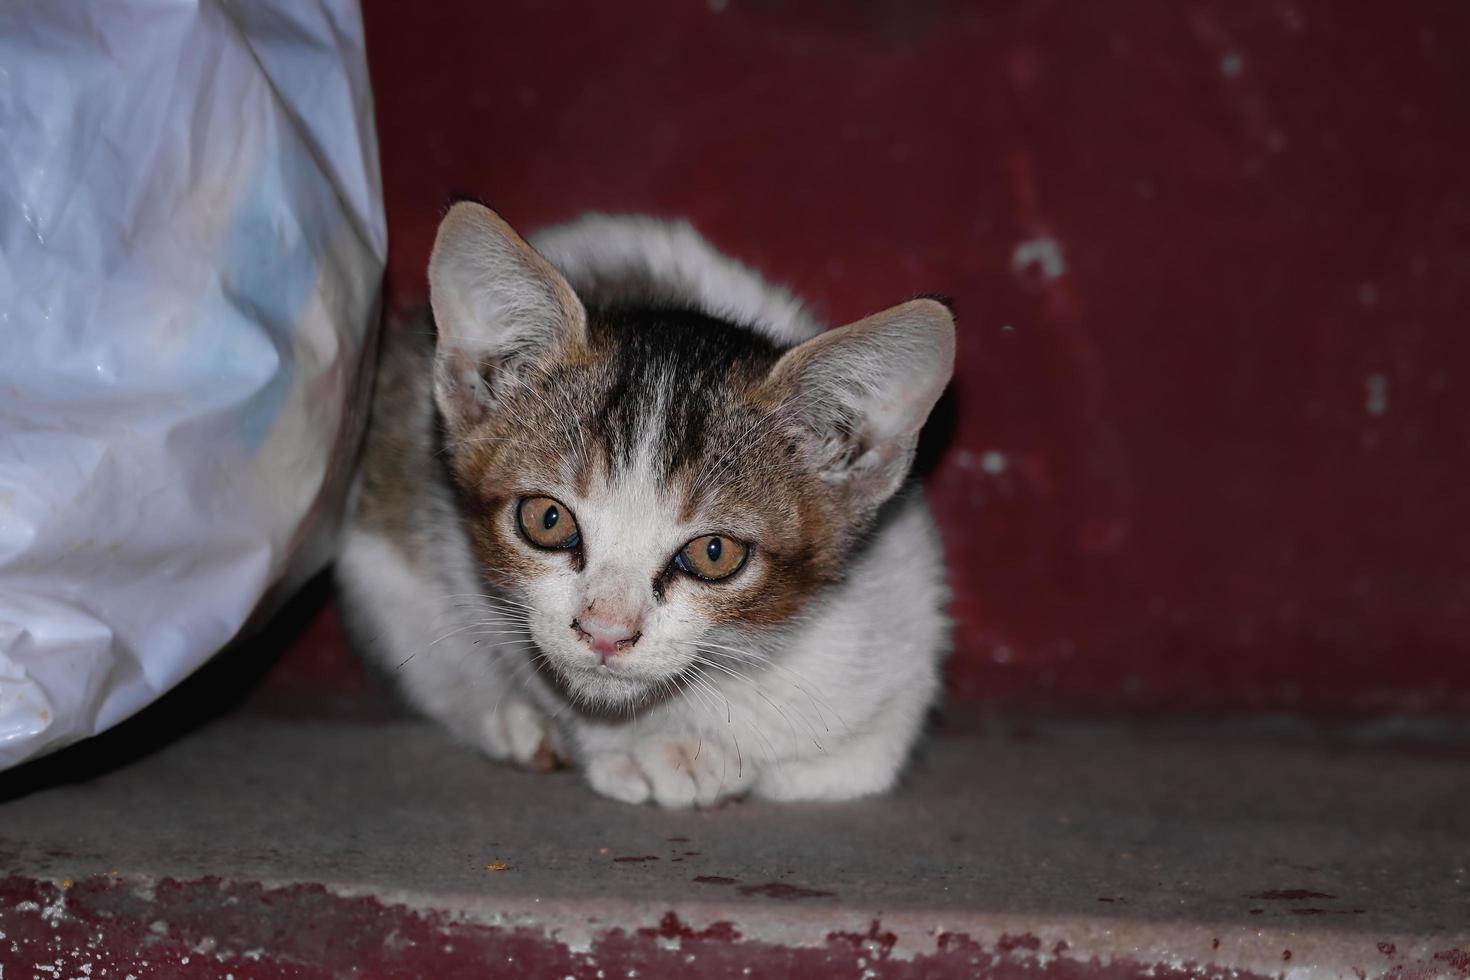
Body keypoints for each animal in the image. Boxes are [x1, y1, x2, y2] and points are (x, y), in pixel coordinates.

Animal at [336, 202, 952, 811]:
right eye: (547, 519)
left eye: (714, 552)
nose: (605, 632)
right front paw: (631, 745)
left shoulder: (902, 604)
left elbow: (843, 765)